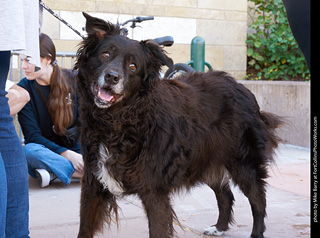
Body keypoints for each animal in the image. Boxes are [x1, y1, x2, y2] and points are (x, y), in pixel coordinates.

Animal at [74, 13, 282, 238]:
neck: (117, 120)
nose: (112, 77)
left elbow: (158, 229)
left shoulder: (154, 191)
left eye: (133, 66)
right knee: (225, 194)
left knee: (258, 199)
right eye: (105, 54)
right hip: (206, 160)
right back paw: (219, 227)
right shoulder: (93, 182)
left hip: (243, 163)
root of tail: (243, 88)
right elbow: (84, 227)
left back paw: (256, 232)